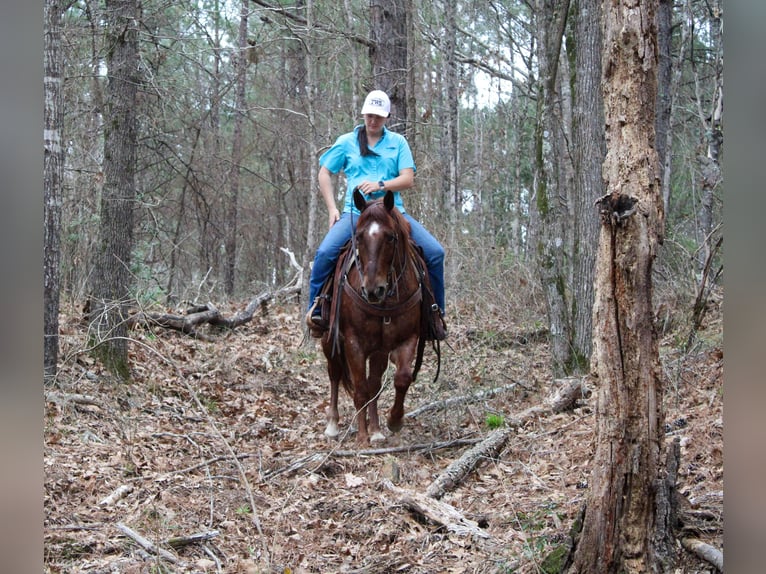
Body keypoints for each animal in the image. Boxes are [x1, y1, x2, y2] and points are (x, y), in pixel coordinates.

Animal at [321, 189, 431, 445]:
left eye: (390, 238)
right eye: (359, 237)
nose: (372, 290)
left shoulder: (405, 339)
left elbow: (400, 378)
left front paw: (393, 421)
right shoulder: (353, 343)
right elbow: (360, 388)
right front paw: (362, 437)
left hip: (378, 349)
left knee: (373, 383)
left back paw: (377, 429)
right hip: (329, 340)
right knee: (334, 373)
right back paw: (333, 424)